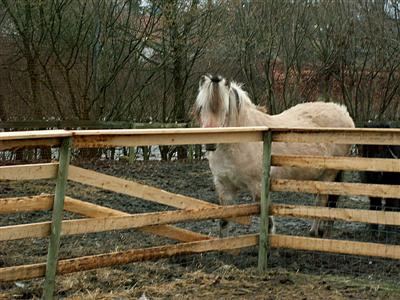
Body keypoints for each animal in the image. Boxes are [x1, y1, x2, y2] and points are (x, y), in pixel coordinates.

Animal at [192, 74, 354, 237]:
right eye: (201, 108)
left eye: (225, 110)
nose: (210, 143)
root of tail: (343, 112)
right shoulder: (224, 188)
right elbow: (224, 223)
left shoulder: (259, 187)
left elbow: (268, 224)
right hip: (317, 177)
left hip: (329, 175)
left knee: (322, 201)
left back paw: (317, 232)